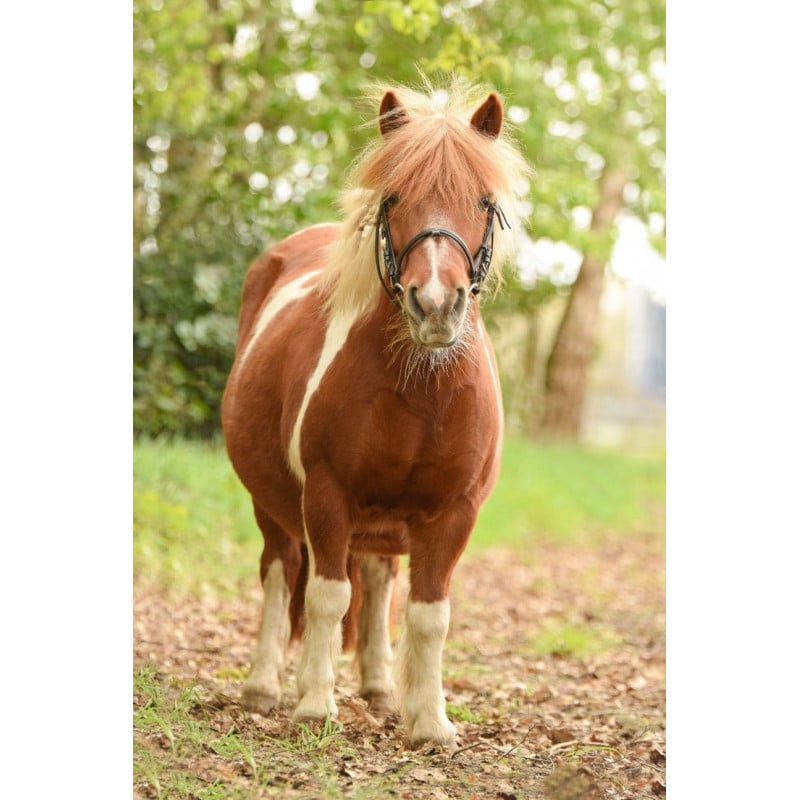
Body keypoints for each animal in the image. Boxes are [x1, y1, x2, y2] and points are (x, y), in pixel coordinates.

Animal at [221, 80, 529, 748]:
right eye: (394, 197)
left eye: (483, 200)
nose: (435, 304)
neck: (422, 392)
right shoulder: (326, 497)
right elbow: (327, 597)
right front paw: (314, 706)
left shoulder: (454, 512)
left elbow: (429, 614)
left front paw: (430, 721)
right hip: (271, 505)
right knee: (281, 572)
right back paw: (262, 687)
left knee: (381, 577)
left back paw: (382, 688)